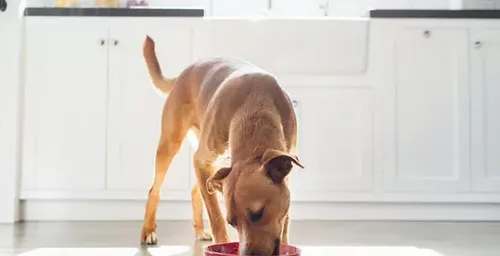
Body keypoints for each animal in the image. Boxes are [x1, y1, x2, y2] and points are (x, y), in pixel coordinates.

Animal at [140, 35, 304, 255]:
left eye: (258, 214)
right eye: (232, 223)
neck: (255, 109)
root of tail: (182, 74)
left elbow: (284, 221)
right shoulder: (202, 162)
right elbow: (216, 218)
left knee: (196, 191)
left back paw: (200, 230)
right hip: (171, 144)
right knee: (155, 190)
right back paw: (148, 231)